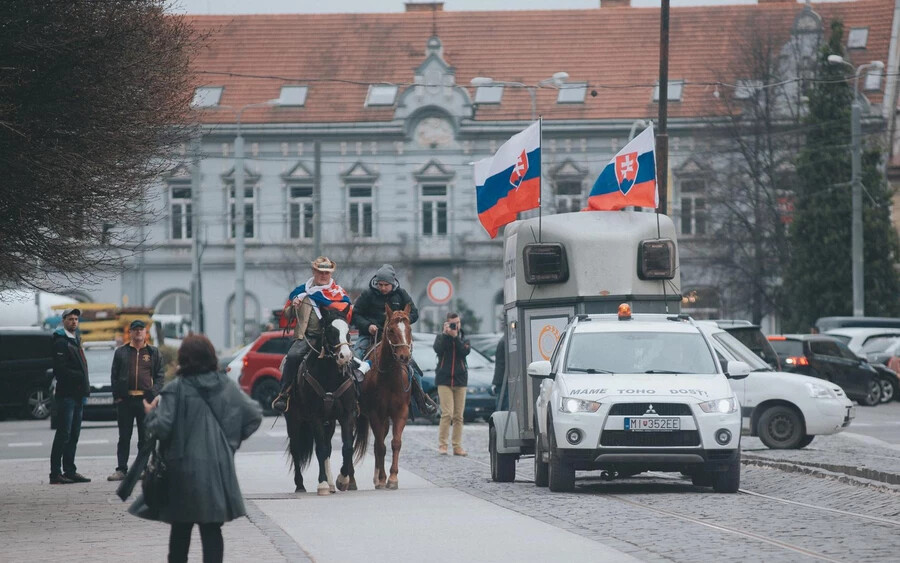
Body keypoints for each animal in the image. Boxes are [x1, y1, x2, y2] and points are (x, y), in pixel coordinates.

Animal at [356, 304, 416, 490]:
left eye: (409, 328)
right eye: (391, 330)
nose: (404, 356)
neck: (389, 377)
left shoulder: (400, 412)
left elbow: (395, 443)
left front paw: (393, 478)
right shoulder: (376, 414)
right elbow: (381, 447)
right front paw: (383, 478)